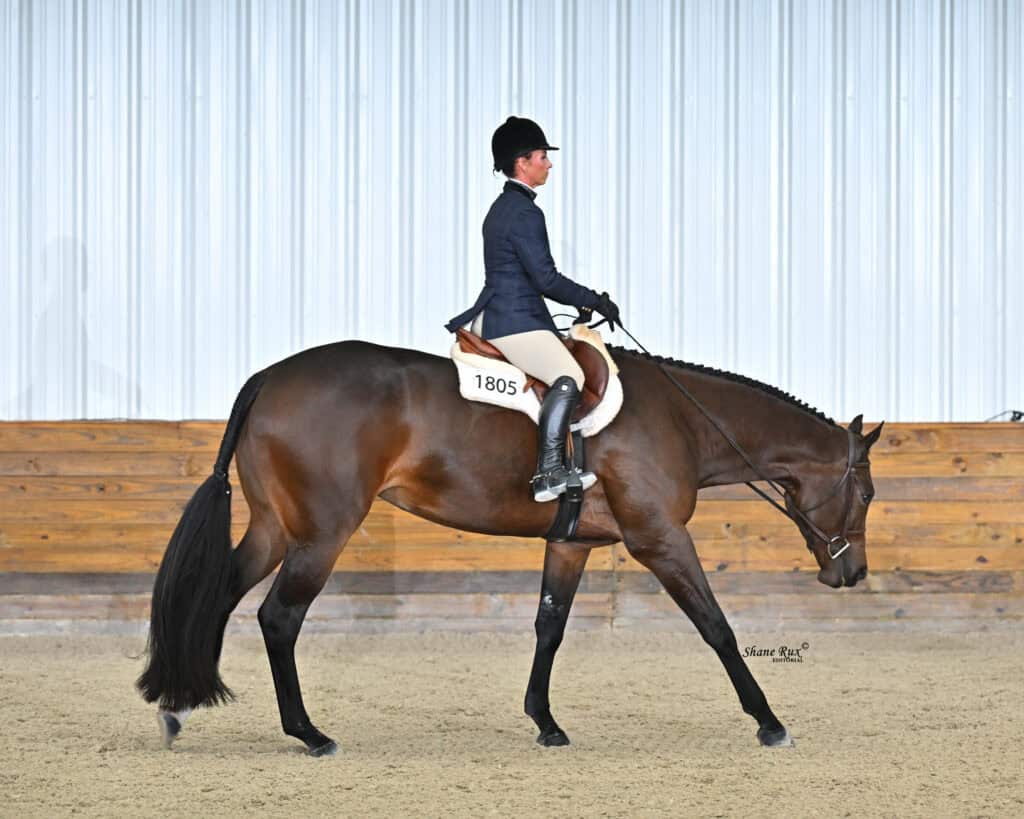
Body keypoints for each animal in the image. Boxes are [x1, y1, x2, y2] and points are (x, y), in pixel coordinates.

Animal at [138, 339, 883, 756]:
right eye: (869, 493)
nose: (852, 572)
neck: (680, 420)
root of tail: (270, 376)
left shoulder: (574, 544)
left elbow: (549, 628)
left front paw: (546, 723)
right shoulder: (660, 539)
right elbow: (718, 627)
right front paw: (770, 723)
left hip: (273, 527)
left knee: (218, 599)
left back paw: (177, 706)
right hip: (322, 533)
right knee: (279, 618)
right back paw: (309, 734)